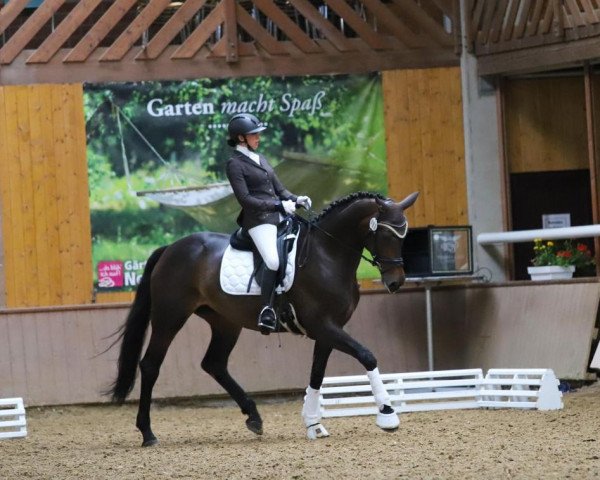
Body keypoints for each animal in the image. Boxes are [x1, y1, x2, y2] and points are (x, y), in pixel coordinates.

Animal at [106, 189, 418, 444]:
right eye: (386, 234)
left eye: (404, 235)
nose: (395, 283)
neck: (327, 255)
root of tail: (170, 248)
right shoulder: (323, 325)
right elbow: (367, 356)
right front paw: (387, 414)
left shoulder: (329, 329)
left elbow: (317, 374)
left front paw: (313, 424)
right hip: (170, 317)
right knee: (150, 365)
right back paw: (147, 433)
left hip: (225, 322)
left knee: (214, 364)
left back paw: (254, 417)